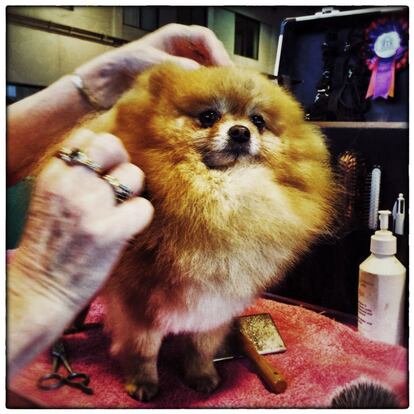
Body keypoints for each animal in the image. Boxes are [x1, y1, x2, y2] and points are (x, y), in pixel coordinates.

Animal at [89, 64, 334, 402]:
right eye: (208, 116)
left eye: (258, 121)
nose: (241, 131)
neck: (220, 201)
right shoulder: (138, 300)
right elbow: (144, 348)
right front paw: (143, 382)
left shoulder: (216, 301)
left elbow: (201, 346)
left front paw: (202, 375)